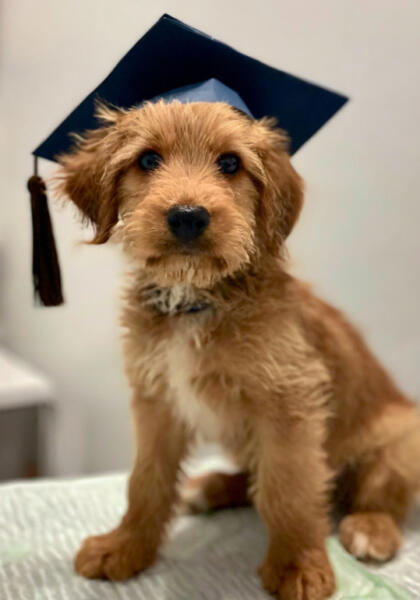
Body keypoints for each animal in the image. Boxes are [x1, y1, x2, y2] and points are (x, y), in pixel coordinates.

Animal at [57, 101, 420, 600]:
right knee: (250, 479)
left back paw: (371, 528)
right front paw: (126, 546)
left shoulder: (289, 404)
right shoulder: (156, 404)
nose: (188, 216)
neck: (194, 300)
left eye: (230, 163)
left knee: (379, 493)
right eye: (148, 160)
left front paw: (297, 564)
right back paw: (209, 487)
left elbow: (287, 489)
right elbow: (145, 481)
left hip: (402, 439)